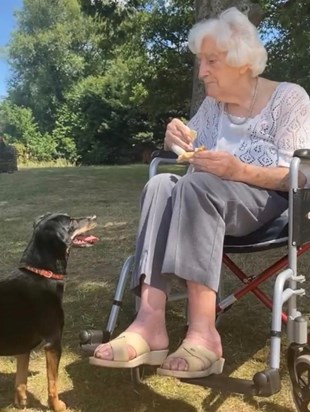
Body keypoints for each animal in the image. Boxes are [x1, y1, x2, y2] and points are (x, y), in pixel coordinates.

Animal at [0, 214, 97, 410]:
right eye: (71, 222)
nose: (94, 217)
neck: (42, 275)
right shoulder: (53, 343)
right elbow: (53, 382)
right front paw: (57, 406)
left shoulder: (24, 346)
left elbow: (20, 380)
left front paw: (21, 403)